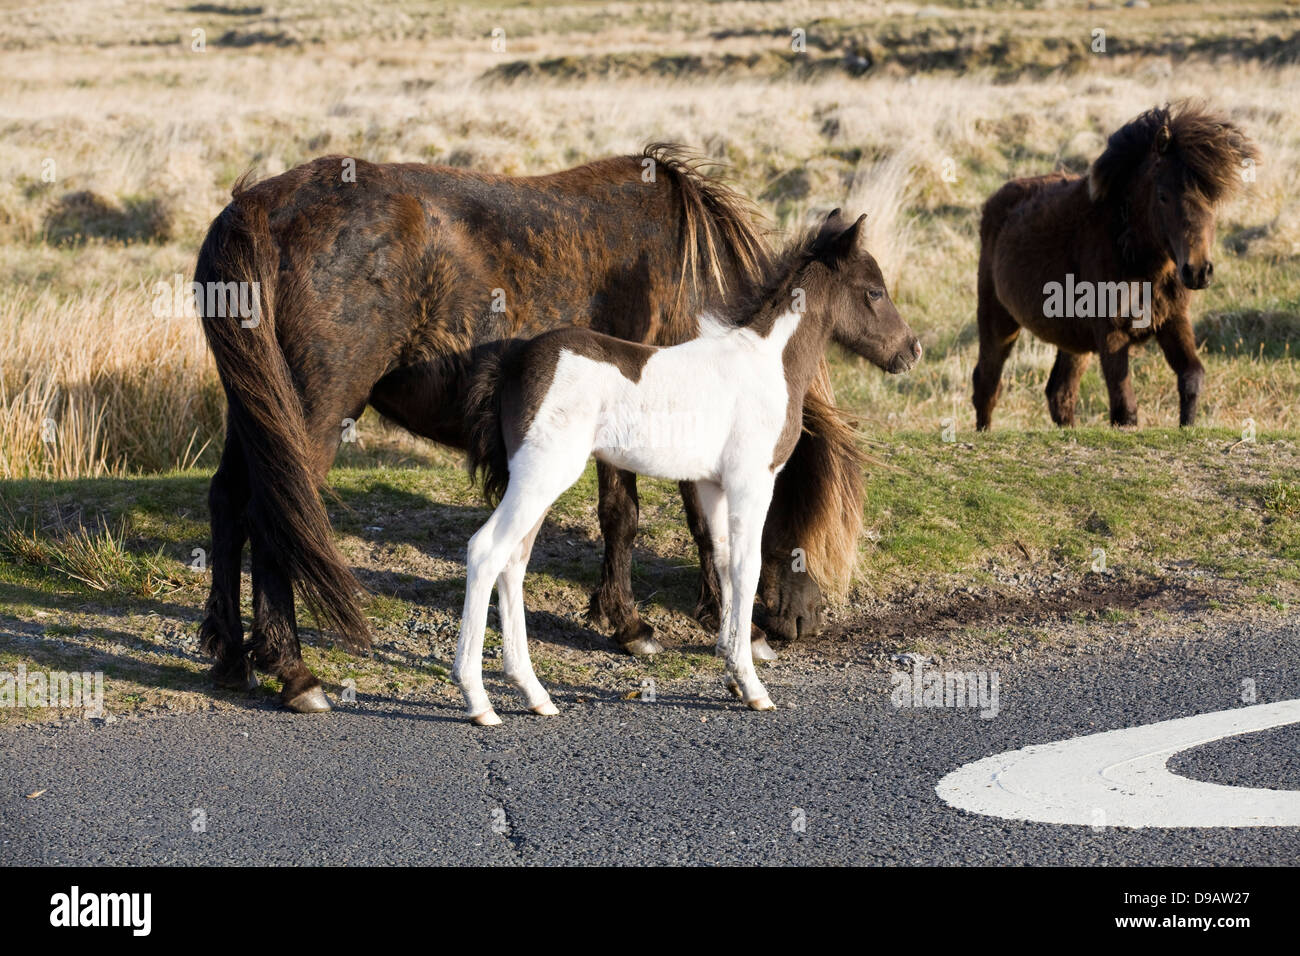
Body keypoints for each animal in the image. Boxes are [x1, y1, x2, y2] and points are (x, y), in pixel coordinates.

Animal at [194, 145, 867, 713]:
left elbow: (638, 520)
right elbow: (662, 522)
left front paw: (633, 621)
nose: (805, 621)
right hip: (312, 415)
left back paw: (231, 655)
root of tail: (255, 208)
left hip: (261, 413)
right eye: (802, 505)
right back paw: (293, 670)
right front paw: (677, 628)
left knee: (229, 502)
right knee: (274, 516)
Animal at [453, 210, 921, 724]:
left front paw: (733, 670)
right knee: (486, 551)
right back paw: (479, 700)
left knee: (514, 561)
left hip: (538, 480)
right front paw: (753, 686)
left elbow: (723, 560)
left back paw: (535, 694)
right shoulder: (752, 480)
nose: (912, 350)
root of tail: (512, 365)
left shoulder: (712, 483)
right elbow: (748, 566)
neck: (768, 365)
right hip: (542, 475)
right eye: (874, 291)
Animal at [972, 102, 1257, 430]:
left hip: (1074, 343)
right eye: (1163, 196)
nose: (1198, 271)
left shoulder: (1172, 320)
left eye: (1213, 198)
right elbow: (1125, 410)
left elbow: (1191, 378)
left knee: (1060, 393)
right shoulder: (1111, 334)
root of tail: (996, 200)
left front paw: (1187, 427)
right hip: (998, 320)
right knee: (987, 384)